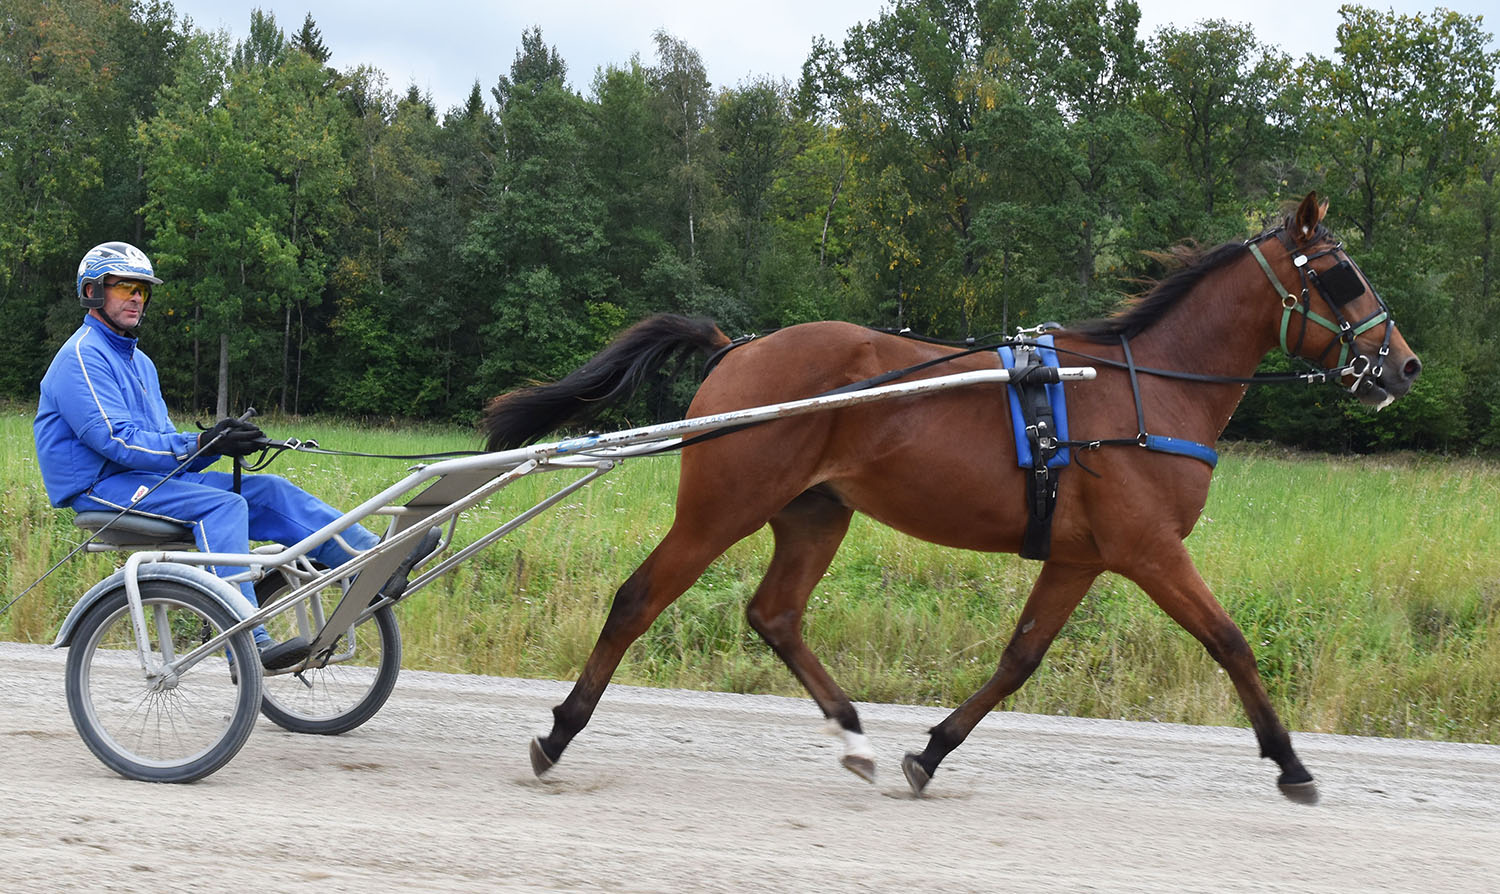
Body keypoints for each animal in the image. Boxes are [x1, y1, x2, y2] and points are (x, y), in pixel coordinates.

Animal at [483, 193, 1416, 804]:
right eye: (1342, 276)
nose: (1402, 366)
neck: (1144, 390)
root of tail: (737, 348)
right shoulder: (1149, 549)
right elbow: (1231, 643)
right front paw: (1292, 763)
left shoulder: (1080, 556)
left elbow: (1019, 659)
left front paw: (928, 753)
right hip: (724, 505)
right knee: (639, 598)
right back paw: (559, 732)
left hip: (816, 511)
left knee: (775, 615)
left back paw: (854, 736)